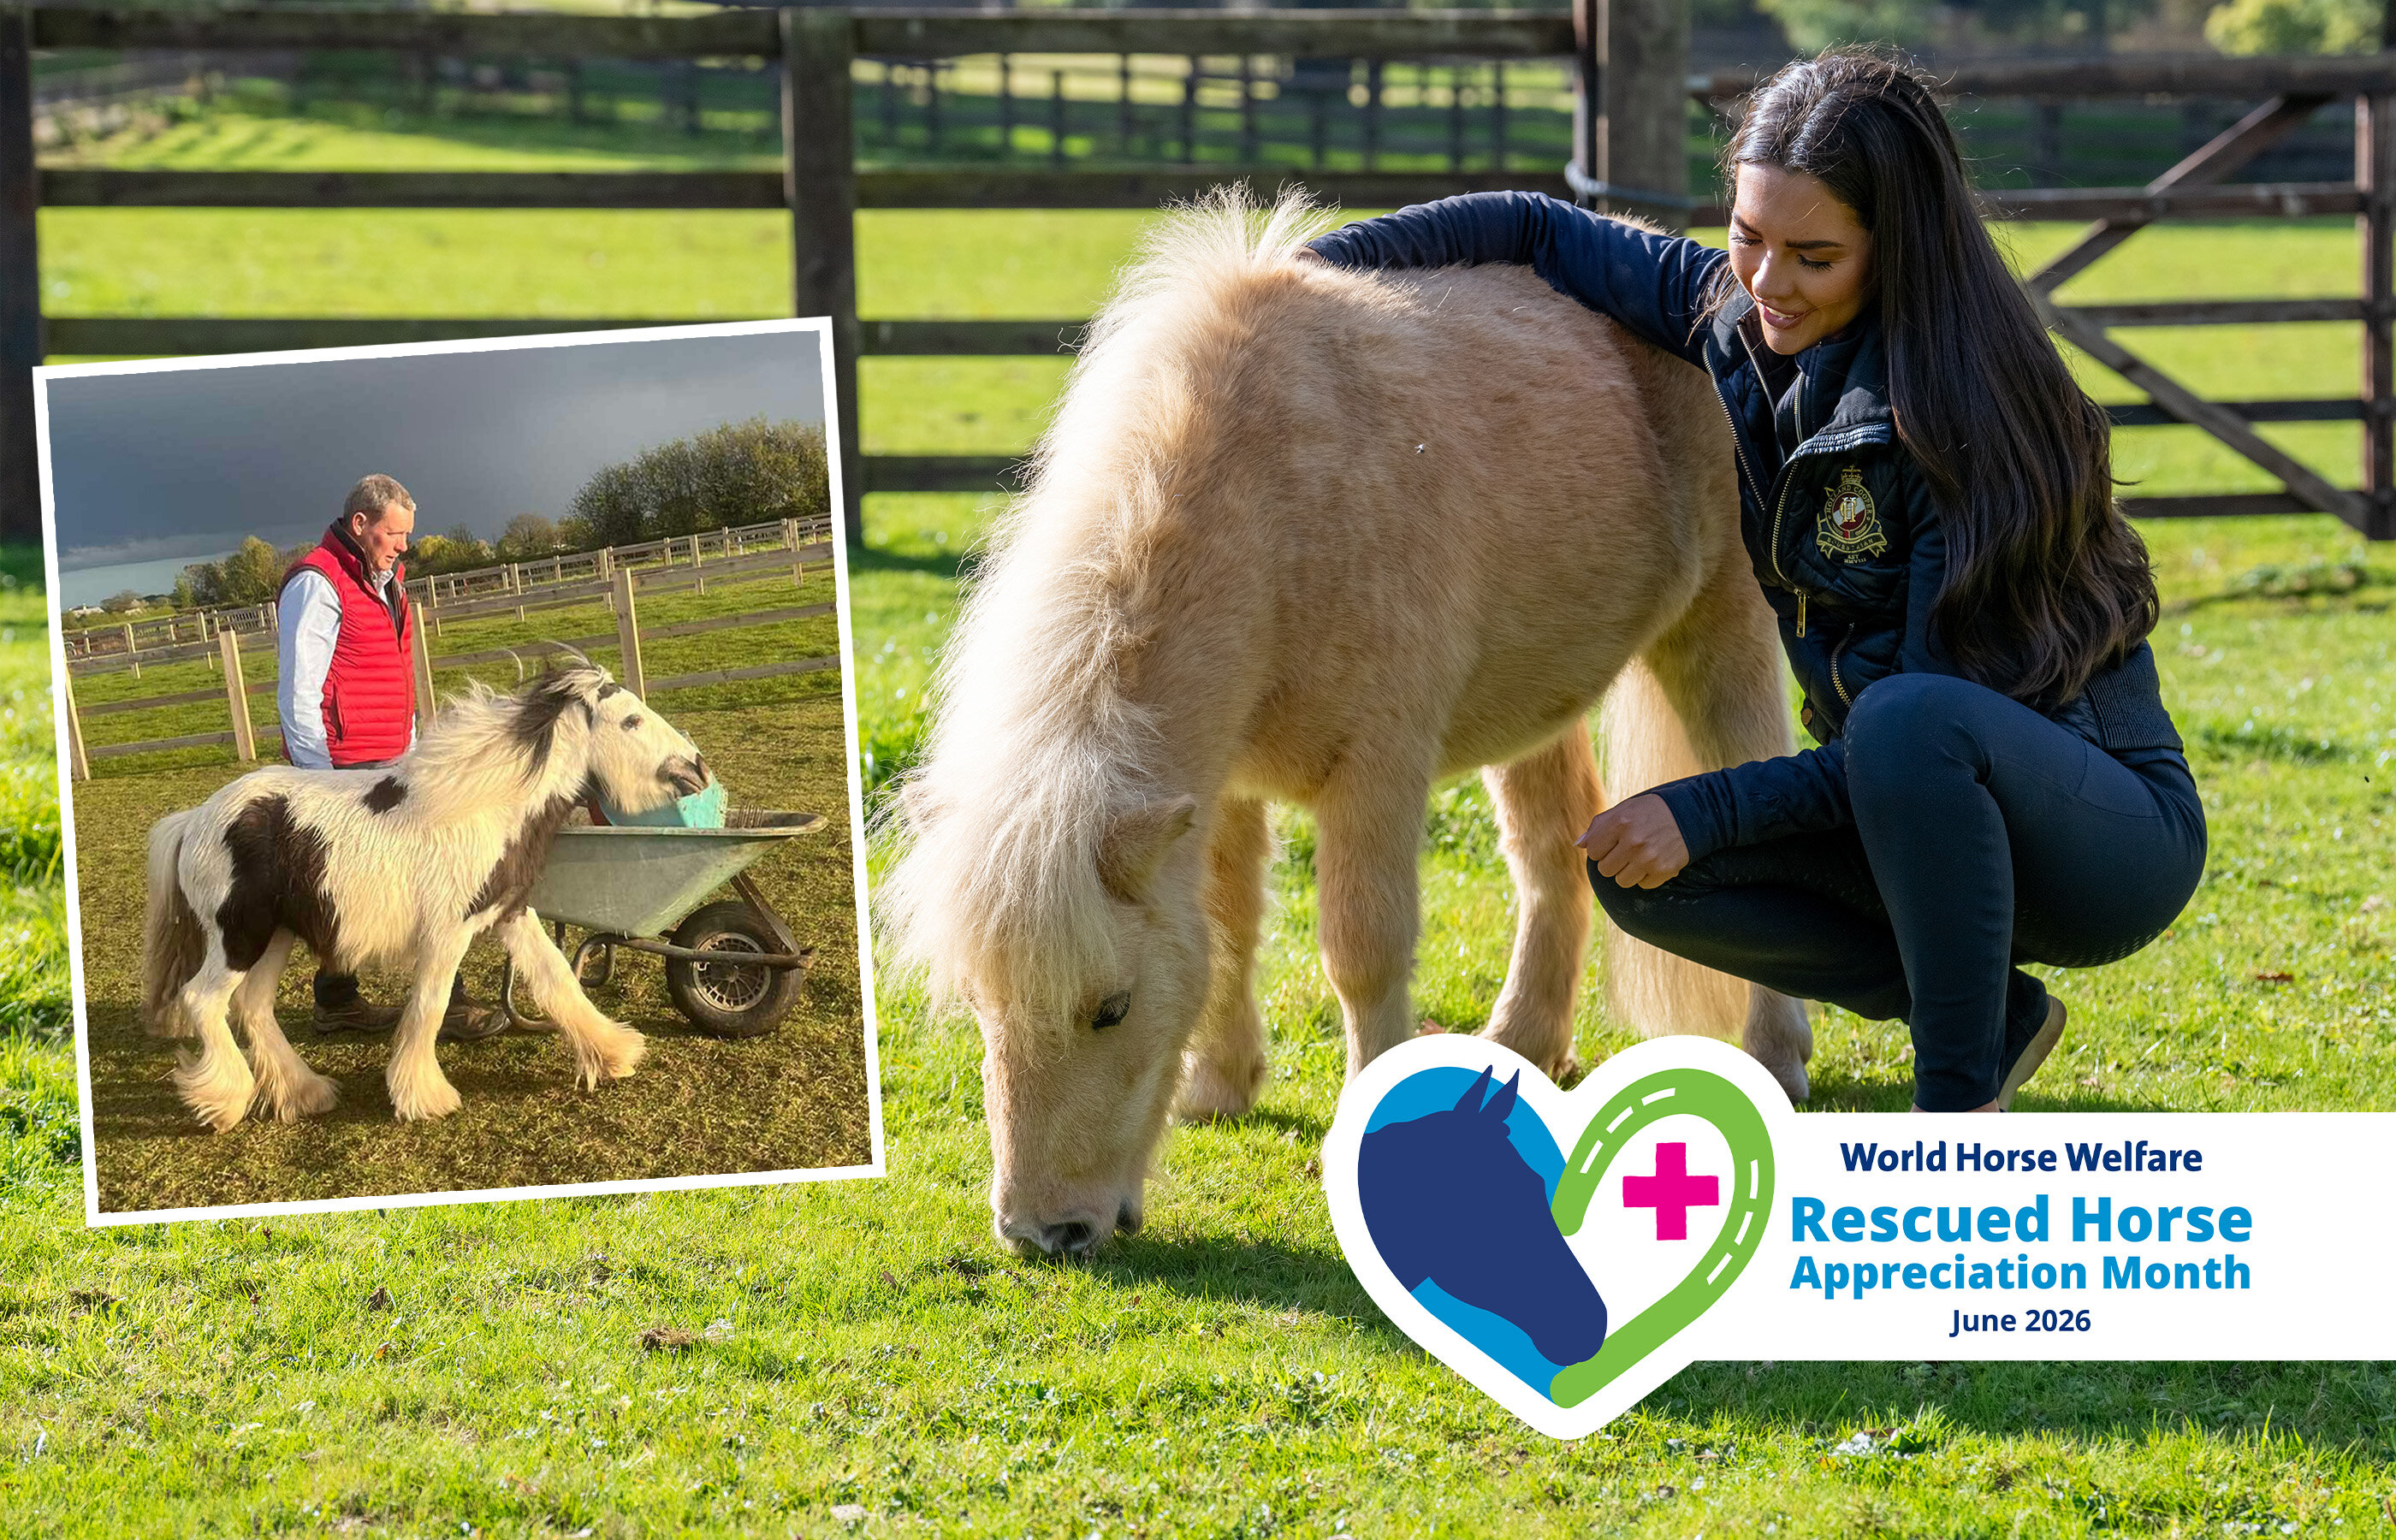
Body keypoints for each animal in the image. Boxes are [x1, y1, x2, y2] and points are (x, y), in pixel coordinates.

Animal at [140, 663, 712, 1131]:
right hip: (239, 935)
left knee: (253, 1008)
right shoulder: (448, 932)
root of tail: (193, 820)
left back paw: (305, 1093)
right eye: (631, 721)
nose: (698, 767)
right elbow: (430, 1005)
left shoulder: (509, 913)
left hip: (276, 936)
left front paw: (614, 1053)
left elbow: (558, 980)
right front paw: (423, 1096)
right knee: (203, 1000)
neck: (483, 805)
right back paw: (223, 1103)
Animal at [879, 188, 1807, 1258]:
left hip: (1721, 641)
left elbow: (1361, 949)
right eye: (983, 1005)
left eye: (1110, 1009)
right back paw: (1521, 1046)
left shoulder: (1376, 773)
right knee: (1549, 854)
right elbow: (1230, 927)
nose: (1043, 1233)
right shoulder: (1220, 787)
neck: (1274, 503)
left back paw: (1775, 1054)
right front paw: (1220, 1084)